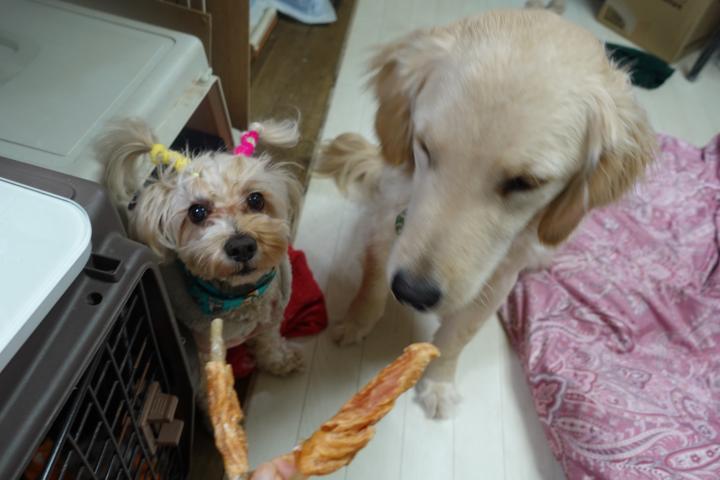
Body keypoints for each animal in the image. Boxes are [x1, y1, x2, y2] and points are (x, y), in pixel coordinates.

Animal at [99, 118, 304, 410]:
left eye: (256, 199)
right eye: (197, 212)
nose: (241, 246)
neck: (243, 299)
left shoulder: (269, 320)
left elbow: (269, 341)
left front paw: (279, 360)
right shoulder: (205, 346)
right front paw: (214, 408)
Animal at [316, 9, 656, 419]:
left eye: (524, 182)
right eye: (424, 147)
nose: (411, 292)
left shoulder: (496, 280)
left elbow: (456, 337)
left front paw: (439, 383)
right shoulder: (387, 226)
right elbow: (370, 286)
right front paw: (354, 322)